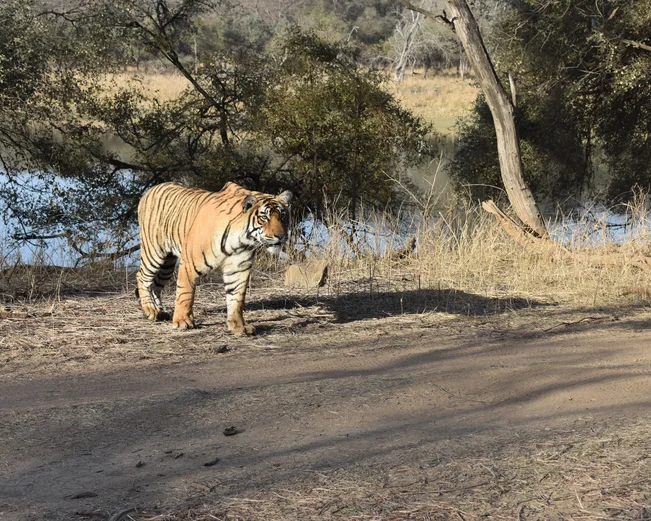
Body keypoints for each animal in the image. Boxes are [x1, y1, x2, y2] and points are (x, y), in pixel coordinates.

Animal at [136, 181, 292, 334]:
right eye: (264, 218)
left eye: (283, 216)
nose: (281, 236)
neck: (242, 241)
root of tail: (151, 189)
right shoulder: (189, 264)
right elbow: (185, 294)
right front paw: (182, 322)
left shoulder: (238, 268)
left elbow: (236, 298)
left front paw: (238, 326)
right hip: (154, 253)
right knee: (142, 277)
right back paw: (150, 310)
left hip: (167, 264)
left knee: (155, 285)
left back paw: (160, 311)